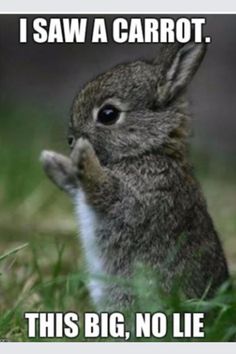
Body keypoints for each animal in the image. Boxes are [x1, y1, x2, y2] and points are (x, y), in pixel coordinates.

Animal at [40, 39, 229, 310]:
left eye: (108, 114)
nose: (71, 140)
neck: (149, 150)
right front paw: (51, 161)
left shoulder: (139, 198)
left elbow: (104, 190)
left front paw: (83, 154)